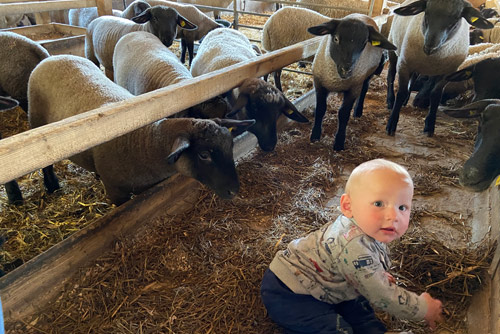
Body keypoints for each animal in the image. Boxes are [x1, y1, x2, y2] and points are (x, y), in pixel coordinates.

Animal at [26, 54, 254, 205]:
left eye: (230, 145)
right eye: (204, 154)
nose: (234, 191)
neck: (142, 141)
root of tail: (54, 57)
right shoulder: (117, 194)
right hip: (36, 123)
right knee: (45, 164)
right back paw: (52, 186)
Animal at [306, 13, 396, 151]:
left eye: (364, 43)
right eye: (336, 39)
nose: (346, 70)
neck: (337, 79)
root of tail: (361, 15)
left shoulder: (353, 89)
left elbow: (343, 114)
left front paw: (339, 143)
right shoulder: (319, 84)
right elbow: (321, 109)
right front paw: (315, 136)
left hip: (366, 76)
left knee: (364, 89)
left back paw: (358, 111)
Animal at [384, 0, 494, 137]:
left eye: (454, 21)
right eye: (426, 14)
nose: (429, 47)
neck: (431, 58)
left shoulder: (446, 73)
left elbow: (435, 95)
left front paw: (430, 125)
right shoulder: (404, 64)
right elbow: (400, 92)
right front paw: (391, 124)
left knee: (413, 79)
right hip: (393, 48)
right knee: (391, 74)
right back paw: (390, 100)